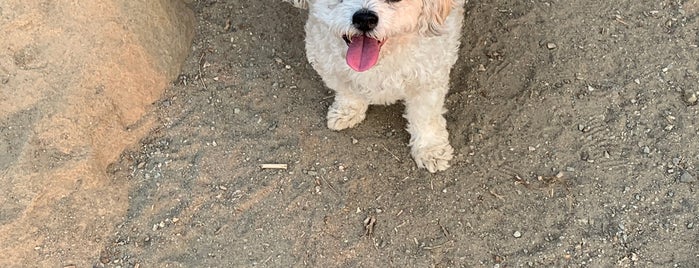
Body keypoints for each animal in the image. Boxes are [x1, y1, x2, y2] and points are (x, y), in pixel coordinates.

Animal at [284, 0, 464, 172]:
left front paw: (430, 149)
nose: (365, 19)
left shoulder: (427, 77)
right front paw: (347, 111)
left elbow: (425, 117)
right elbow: (348, 91)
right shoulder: (330, 63)